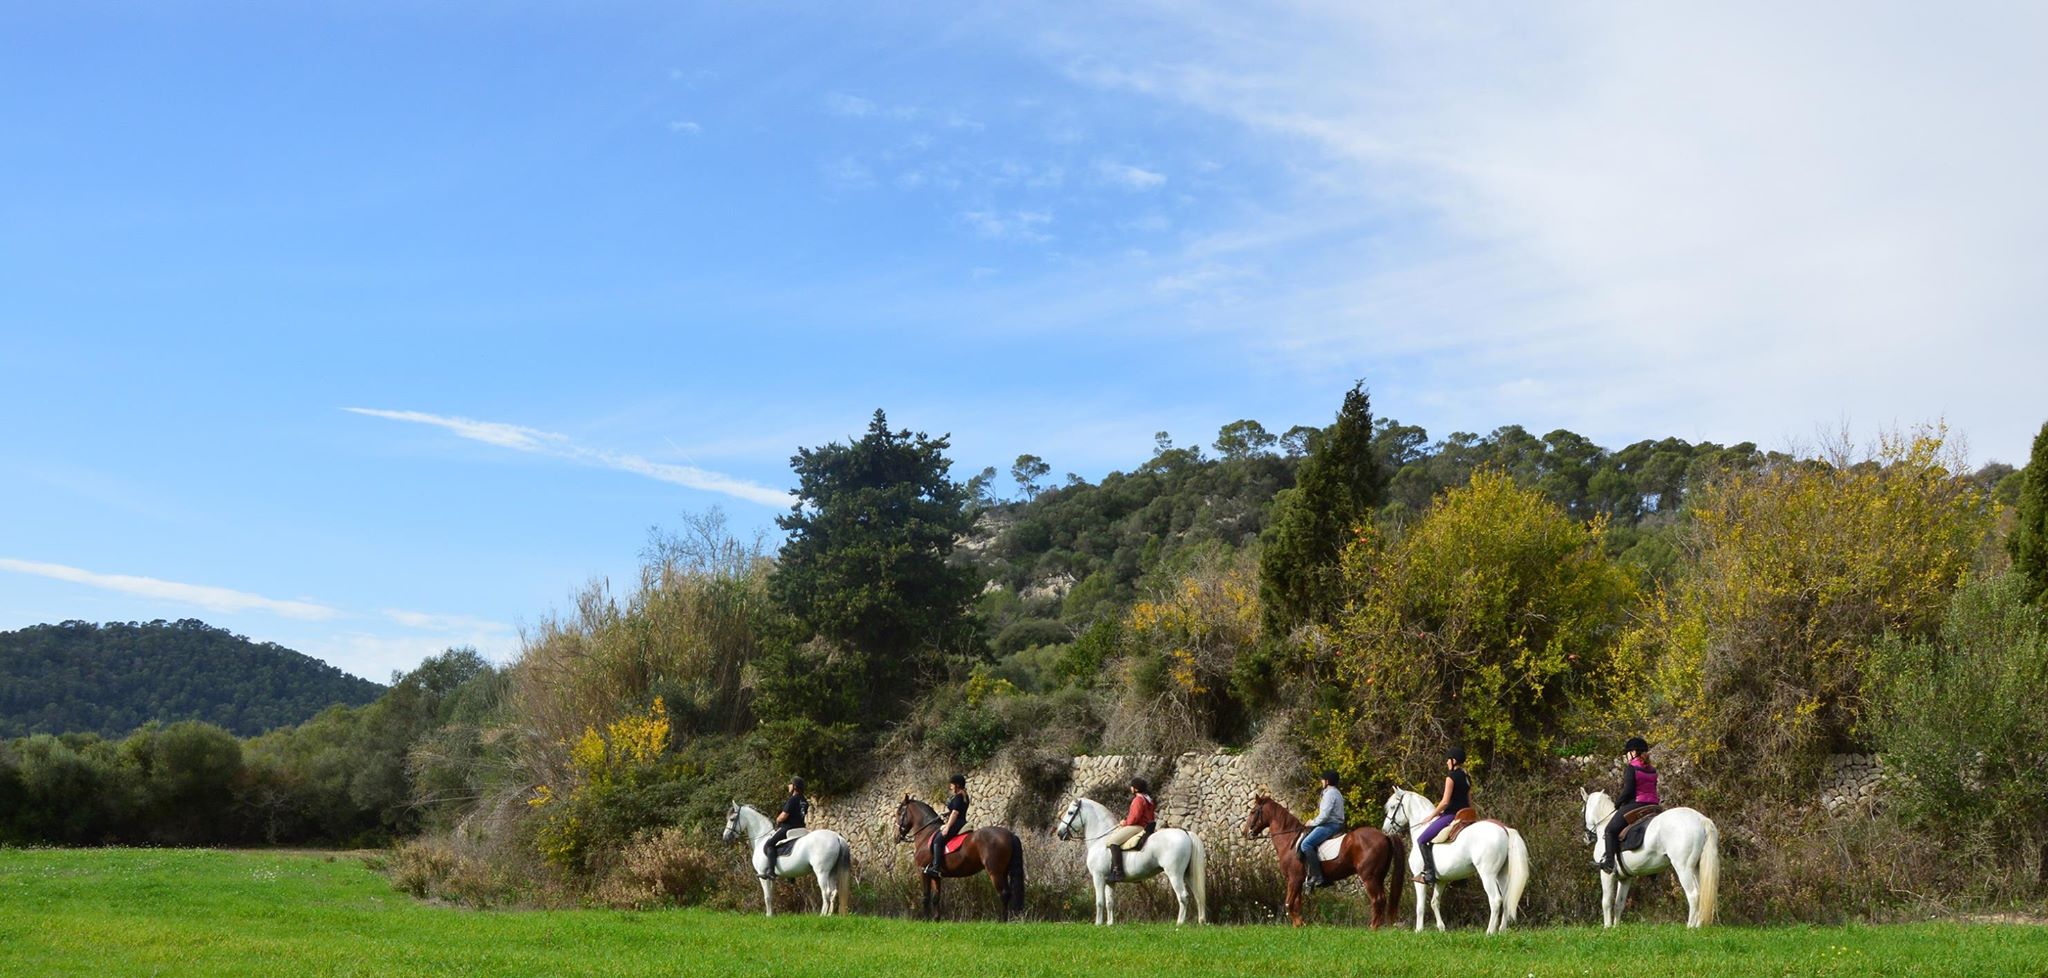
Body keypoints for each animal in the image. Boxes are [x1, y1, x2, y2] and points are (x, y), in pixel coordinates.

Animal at [892, 793, 1024, 924]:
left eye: (899, 812)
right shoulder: (935, 875)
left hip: (995, 872)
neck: (926, 834)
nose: (896, 837)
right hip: (1003, 871)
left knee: (1004, 893)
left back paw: (1002, 921)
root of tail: (1010, 834)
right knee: (1008, 893)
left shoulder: (922, 871)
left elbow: (925, 896)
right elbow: (936, 897)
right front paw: (936, 919)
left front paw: (925, 919)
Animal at [1048, 793, 1204, 924]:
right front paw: (1110, 924)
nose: (1059, 833)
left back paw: (1179, 924)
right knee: (1197, 895)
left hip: (1174, 874)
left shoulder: (1098, 877)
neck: (1101, 840)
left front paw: (1098, 924)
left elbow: (1100, 902)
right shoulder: (1110, 882)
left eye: (1070, 812)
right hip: (1188, 875)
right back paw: (1201, 921)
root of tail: (1185, 833)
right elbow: (1110, 902)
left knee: (1183, 896)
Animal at [1236, 793, 1400, 924]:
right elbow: (1296, 905)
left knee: (1377, 900)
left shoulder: (1294, 879)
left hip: (1369, 877)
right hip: (1379, 877)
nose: (1245, 832)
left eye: (1252, 811)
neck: (1289, 841)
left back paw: (1372, 929)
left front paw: (1300, 924)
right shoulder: (1297, 881)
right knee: (1382, 901)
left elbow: (1289, 904)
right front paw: (1300, 926)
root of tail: (1384, 835)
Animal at [1384, 785, 1531, 932]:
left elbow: (1420, 907)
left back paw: (1489, 932)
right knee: (1506, 899)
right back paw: (1501, 930)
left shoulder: (1419, 879)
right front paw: (1441, 928)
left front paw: (1419, 930)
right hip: (1501, 874)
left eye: (1392, 807)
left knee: (1495, 900)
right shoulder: (1441, 880)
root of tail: (1504, 829)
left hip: (1487, 875)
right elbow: (1434, 902)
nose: (1385, 830)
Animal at [1581, 789, 1712, 928]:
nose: (1587, 837)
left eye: (1582, 809)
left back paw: (1690, 927)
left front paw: (1607, 927)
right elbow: (1619, 904)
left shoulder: (1606, 874)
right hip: (1696, 868)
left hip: (1684, 868)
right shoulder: (1625, 878)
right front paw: (1616, 927)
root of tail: (1701, 819)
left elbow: (1606, 902)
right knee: (1702, 894)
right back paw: (1698, 927)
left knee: (1693, 894)